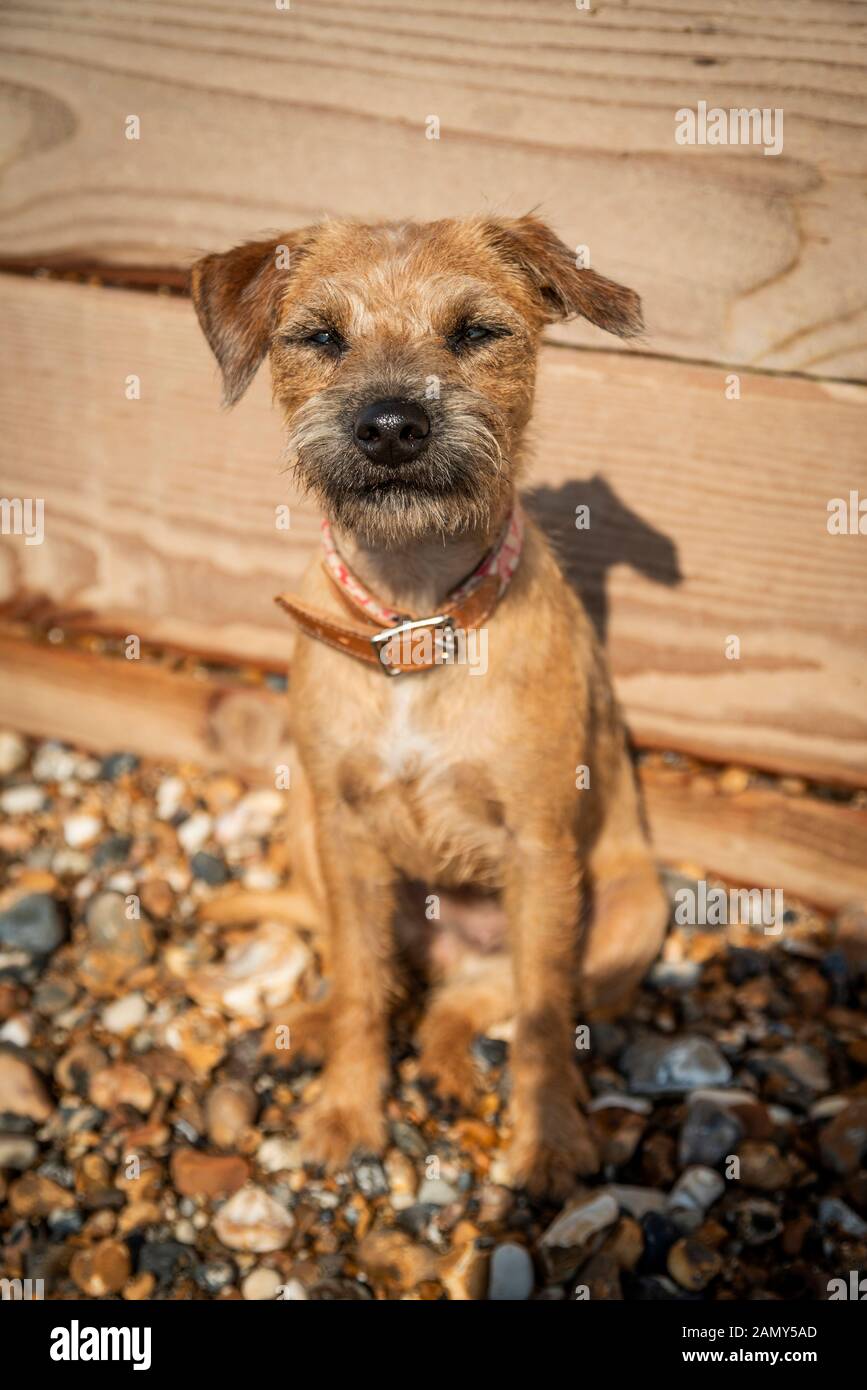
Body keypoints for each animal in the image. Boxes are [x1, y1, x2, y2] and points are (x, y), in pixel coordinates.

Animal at [191, 214, 664, 1195]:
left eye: (476, 332)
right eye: (321, 337)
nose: (390, 426)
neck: (416, 621)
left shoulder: (538, 850)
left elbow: (538, 1017)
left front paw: (548, 1142)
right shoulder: (343, 831)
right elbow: (362, 988)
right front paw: (346, 1111)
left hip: (629, 914)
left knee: (484, 999)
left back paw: (451, 1064)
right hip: (304, 826)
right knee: (372, 973)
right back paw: (323, 1027)